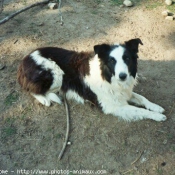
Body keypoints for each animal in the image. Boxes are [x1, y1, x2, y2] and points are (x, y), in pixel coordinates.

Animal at [17, 38, 167, 121]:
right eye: (112, 61)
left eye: (127, 59)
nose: (122, 76)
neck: (107, 76)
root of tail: (24, 59)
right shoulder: (111, 106)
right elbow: (138, 110)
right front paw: (157, 116)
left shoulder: (123, 93)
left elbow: (142, 98)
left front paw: (156, 107)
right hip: (56, 73)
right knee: (31, 89)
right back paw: (45, 99)